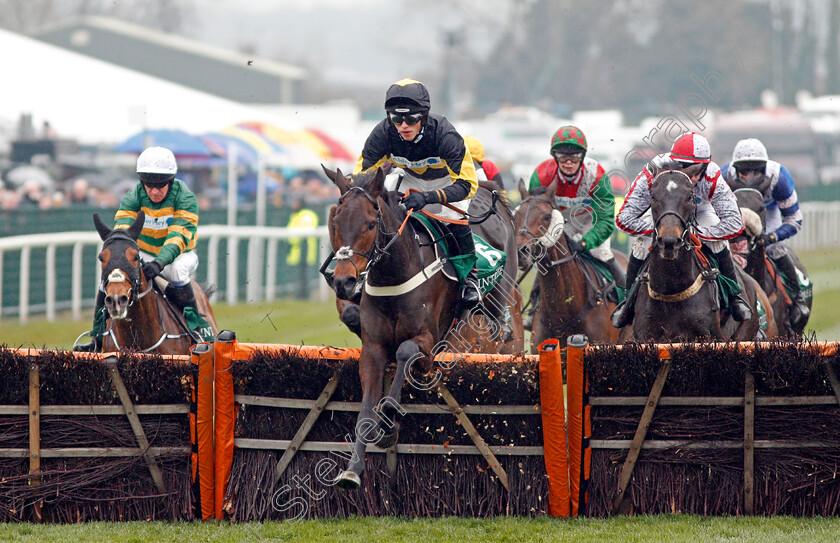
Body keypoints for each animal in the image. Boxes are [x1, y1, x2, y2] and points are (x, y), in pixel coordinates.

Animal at [324, 165, 520, 488]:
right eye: (335, 223)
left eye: (370, 224)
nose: (344, 282)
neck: (394, 274)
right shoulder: (373, 347)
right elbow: (365, 412)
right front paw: (352, 470)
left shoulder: (429, 341)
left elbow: (404, 352)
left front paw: (389, 418)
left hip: (498, 295)